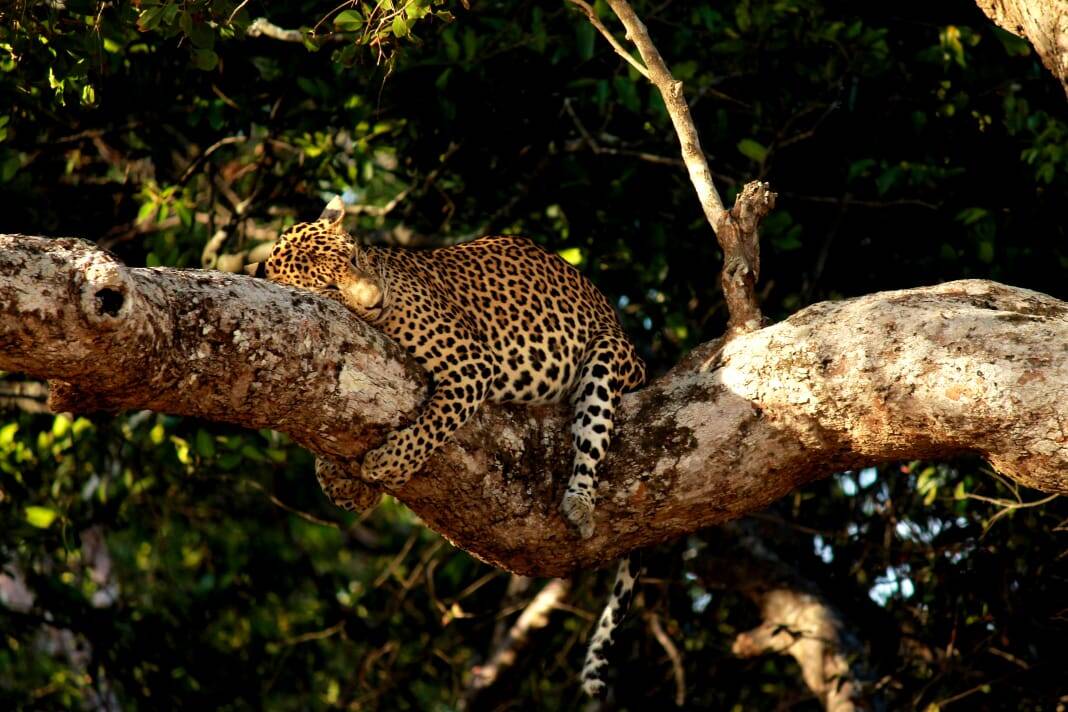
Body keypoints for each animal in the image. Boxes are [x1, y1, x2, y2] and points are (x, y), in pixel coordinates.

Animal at [260, 196, 646, 695]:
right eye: (328, 286)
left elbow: (435, 421)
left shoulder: (470, 364)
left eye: (354, 259)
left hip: (606, 355)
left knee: (592, 433)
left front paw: (387, 464)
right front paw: (343, 483)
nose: (377, 300)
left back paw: (579, 502)